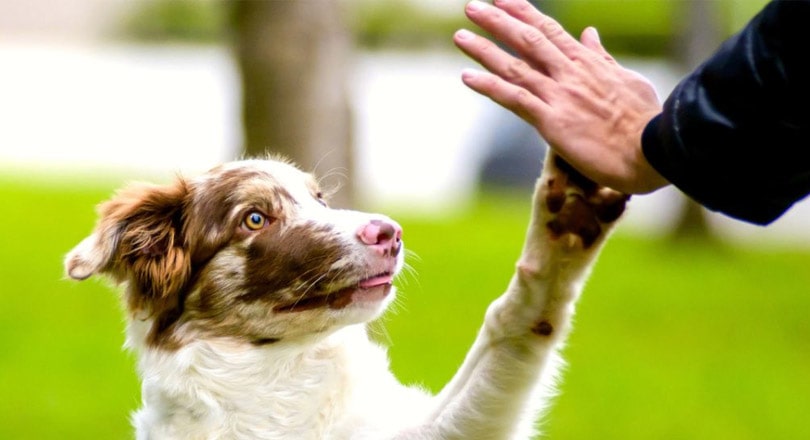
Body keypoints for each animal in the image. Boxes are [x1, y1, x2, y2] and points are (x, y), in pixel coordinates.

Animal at [66, 152, 628, 440]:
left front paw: (566, 222)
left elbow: (510, 327)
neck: (277, 377)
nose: (391, 233)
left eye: (320, 199)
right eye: (255, 218)